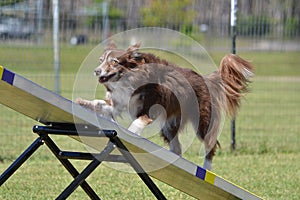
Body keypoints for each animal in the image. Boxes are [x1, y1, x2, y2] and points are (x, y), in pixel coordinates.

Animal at [75, 41, 253, 170]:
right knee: (177, 148)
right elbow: (100, 104)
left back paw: (206, 167)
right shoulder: (119, 103)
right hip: (169, 125)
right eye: (101, 61)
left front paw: (131, 132)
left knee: (210, 144)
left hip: (202, 122)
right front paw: (83, 102)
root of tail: (205, 79)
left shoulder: (149, 108)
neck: (129, 78)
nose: (97, 71)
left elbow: (138, 121)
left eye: (114, 62)